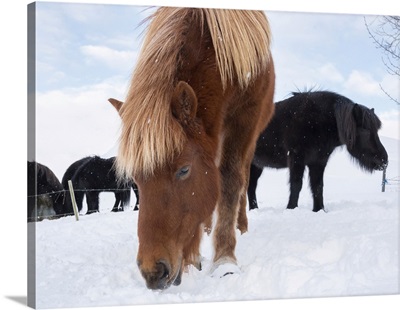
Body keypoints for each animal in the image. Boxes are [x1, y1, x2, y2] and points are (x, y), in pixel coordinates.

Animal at [114, 7, 274, 290]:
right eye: (135, 180)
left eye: (184, 170)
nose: (153, 272)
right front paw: (198, 253)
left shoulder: (245, 118)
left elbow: (230, 182)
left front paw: (225, 261)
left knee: (242, 178)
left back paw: (241, 226)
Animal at [248, 91, 390, 213]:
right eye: (366, 130)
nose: (384, 160)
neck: (316, 121)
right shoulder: (296, 158)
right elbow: (296, 185)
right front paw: (291, 209)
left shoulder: (318, 162)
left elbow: (317, 186)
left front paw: (319, 210)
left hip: (256, 166)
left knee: (251, 187)